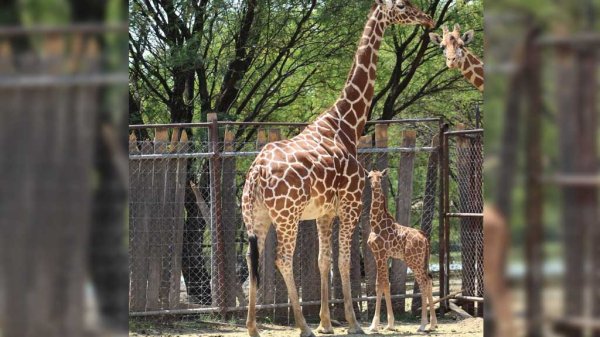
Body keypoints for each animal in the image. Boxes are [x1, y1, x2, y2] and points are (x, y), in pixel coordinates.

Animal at [366, 169, 436, 332]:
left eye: (380, 177)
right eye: (369, 177)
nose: (374, 185)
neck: (375, 224)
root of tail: (425, 238)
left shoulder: (381, 254)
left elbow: (381, 284)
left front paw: (374, 325)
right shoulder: (381, 255)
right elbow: (383, 284)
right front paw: (389, 324)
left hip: (413, 260)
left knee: (424, 282)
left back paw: (422, 325)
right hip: (421, 261)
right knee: (429, 280)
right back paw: (432, 324)